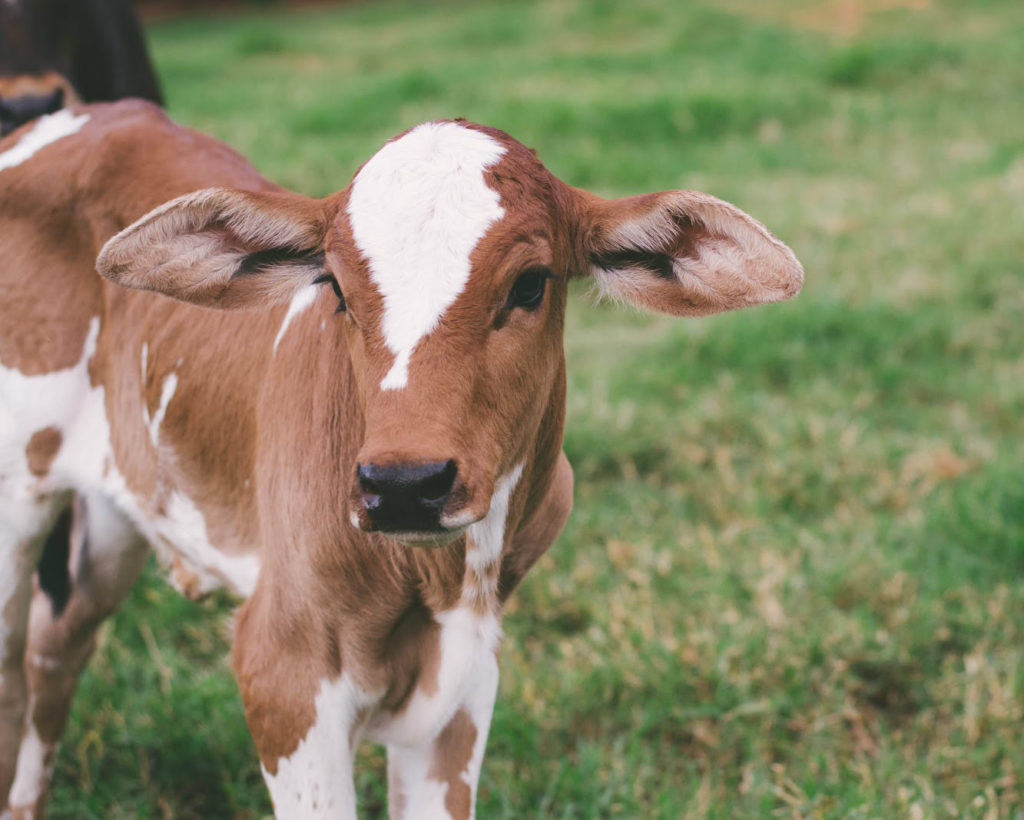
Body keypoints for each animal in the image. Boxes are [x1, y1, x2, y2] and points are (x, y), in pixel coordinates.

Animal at [0, 99, 798, 814]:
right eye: (337, 289)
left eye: (530, 284)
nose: (406, 483)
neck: (438, 580)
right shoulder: (284, 673)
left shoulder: (464, 683)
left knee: (55, 647)